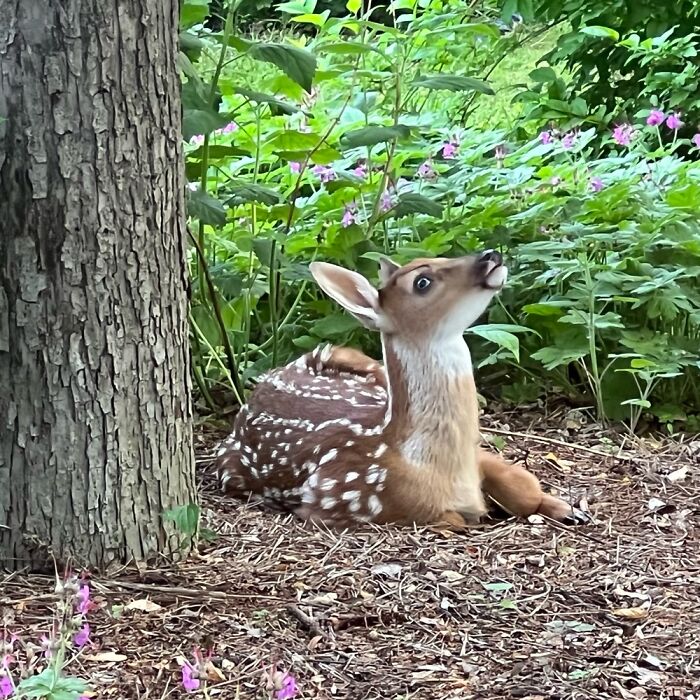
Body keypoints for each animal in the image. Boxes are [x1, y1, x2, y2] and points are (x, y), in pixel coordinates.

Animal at [216, 251, 584, 529]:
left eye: (440, 256)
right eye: (422, 282)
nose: (490, 255)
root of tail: (260, 387)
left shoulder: (479, 457)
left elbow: (519, 484)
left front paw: (567, 508)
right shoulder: (337, 499)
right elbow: (456, 519)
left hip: (355, 359)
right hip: (229, 468)